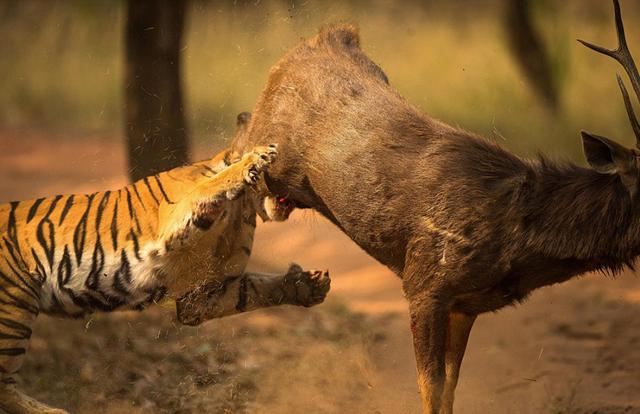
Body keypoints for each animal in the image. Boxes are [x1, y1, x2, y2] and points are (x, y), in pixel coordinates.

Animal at [0, 111, 330, 412]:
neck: (242, 211)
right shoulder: (175, 217)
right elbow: (211, 185)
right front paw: (256, 157)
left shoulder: (201, 295)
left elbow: (255, 290)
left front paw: (307, 285)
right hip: (12, 309)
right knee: (4, 387)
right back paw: (54, 411)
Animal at [229, 1, 636, 412]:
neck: (516, 241)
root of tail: (323, 37)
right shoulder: (425, 284)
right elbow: (431, 386)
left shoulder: (466, 304)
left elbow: (451, 385)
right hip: (270, 146)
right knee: (240, 138)